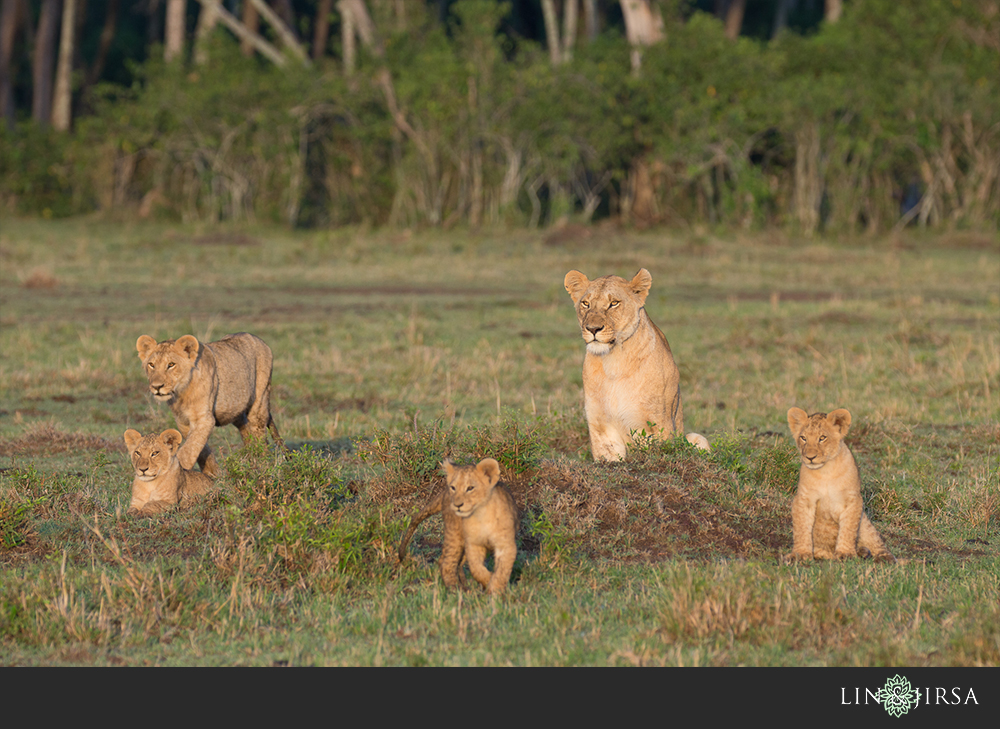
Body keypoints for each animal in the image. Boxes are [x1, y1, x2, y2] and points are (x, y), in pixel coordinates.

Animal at [135, 332, 284, 478]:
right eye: (151, 365)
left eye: (171, 364)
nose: (157, 386)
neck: (181, 393)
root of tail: (258, 339)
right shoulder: (183, 421)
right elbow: (200, 449)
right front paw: (213, 473)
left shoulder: (204, 419)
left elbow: (188, 450)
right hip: (237, 410)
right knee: (246, 431)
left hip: (259, 402)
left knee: (260, 436)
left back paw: (261, 465)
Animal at [564, 268, 712, 460]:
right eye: (585, 303)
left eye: (614, 303)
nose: (593, 329)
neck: (614, 361)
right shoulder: (601, 426)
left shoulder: (660, 421)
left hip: (696, 437)